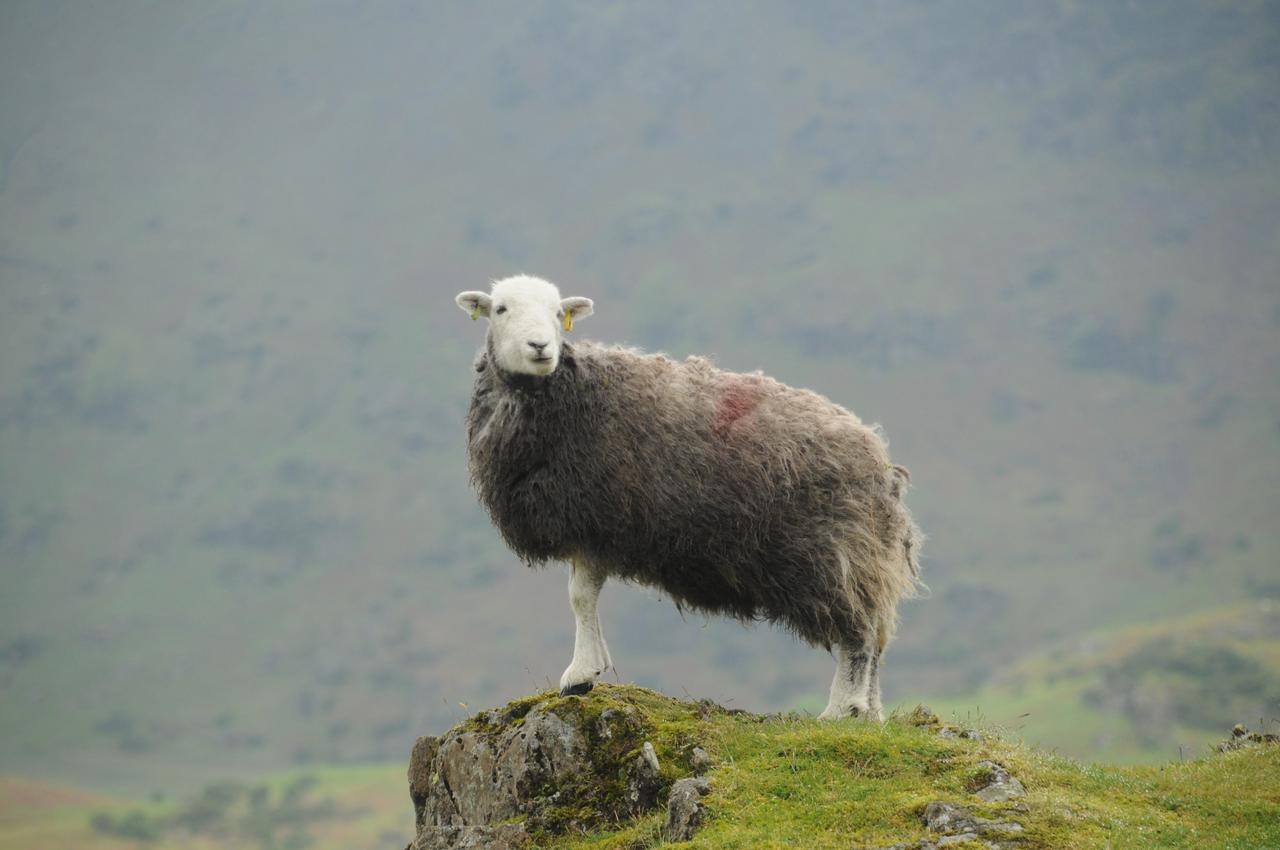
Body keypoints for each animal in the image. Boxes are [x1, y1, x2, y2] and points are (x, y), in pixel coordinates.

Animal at [458, 275, 921, 721]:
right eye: (501, 309)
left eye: (558, 313)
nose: (541, 346)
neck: (569, 393)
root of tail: (879, 461)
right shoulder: (592, 527)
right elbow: (584, 598)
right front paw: (596, 664)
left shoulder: (593, 517)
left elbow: (580, 597)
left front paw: (580, 674)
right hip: (863, 556)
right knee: (877, 634)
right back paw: (870, 714)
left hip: (835, 552)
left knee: (858, 634)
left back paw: (843, 707)